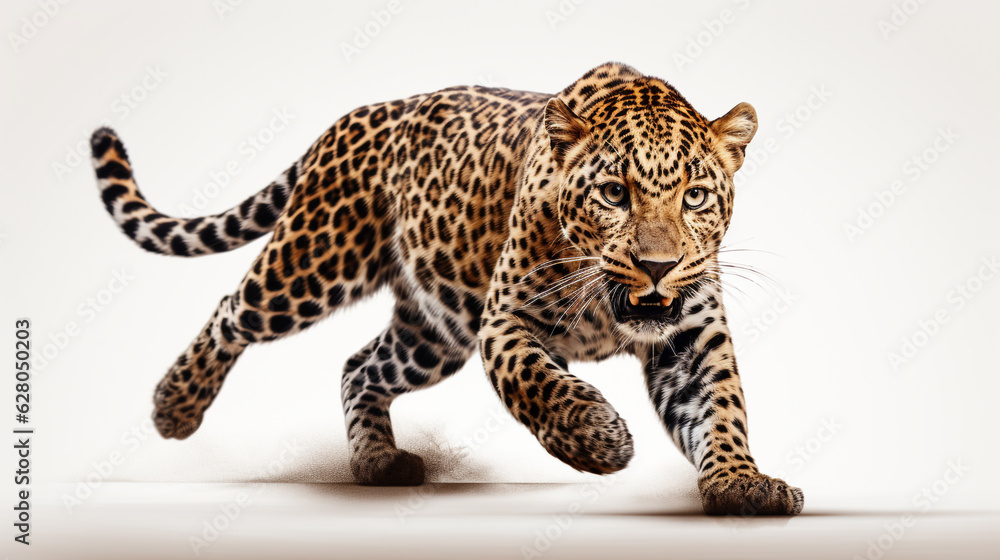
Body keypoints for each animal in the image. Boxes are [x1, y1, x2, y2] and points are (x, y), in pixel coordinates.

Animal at [89, 62, 803, 516]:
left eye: (697, 197)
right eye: (613, 193)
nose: (658, 265)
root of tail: (362, 114)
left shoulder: (690, 333)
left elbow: (720, 408)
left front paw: (742, 485)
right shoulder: (506, 319)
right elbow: (535, 382)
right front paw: (599, 439)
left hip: (432, 334)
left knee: (359, 367)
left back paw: (380, 464)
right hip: (310, 264)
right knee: (232, 310)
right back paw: (175, 404)